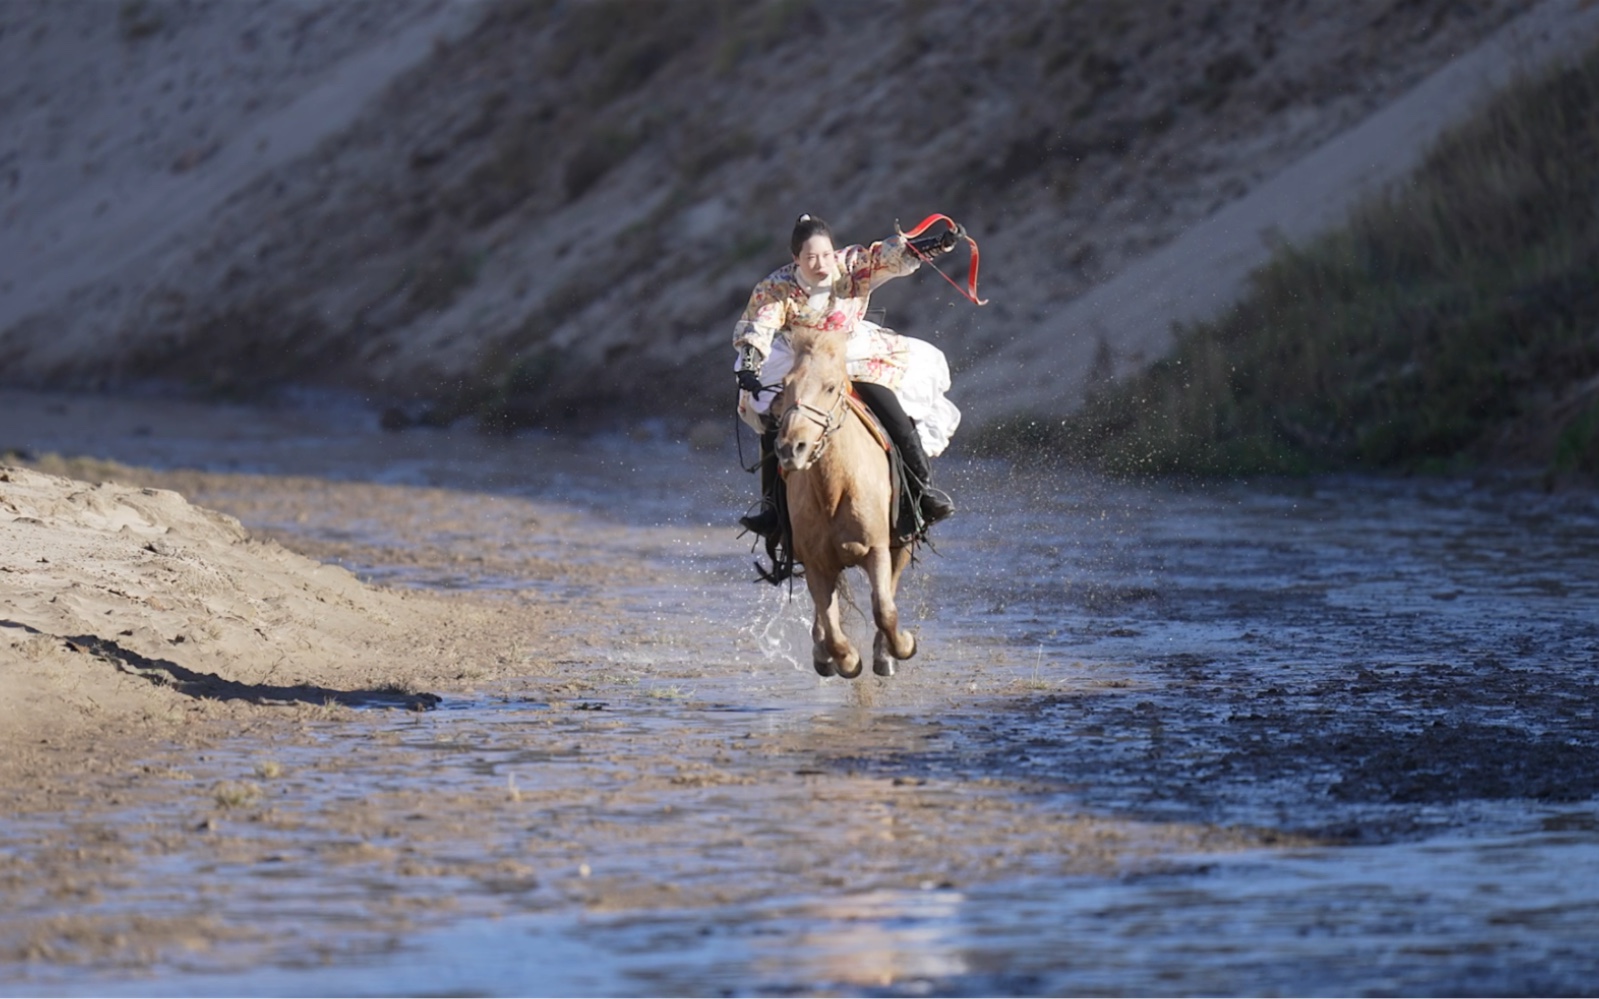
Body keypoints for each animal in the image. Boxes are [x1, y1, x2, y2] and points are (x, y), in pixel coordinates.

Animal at [768, 326, 918, 679]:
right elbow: (833, 627)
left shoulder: (877, 548)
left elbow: (884, 609)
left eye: (830, 386)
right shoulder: (816, 563)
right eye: (785, 383)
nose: (791, 448)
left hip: (901, 543)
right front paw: (846, 660)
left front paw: (901, 646)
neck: (835, 489)